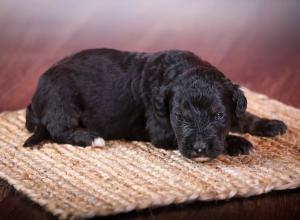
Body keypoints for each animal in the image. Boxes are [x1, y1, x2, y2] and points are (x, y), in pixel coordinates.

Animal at [22, 48, 286, 158]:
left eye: (219, 115)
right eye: (180, 116)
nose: (200, 149)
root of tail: (35, 98)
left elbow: (242, 116)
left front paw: (270, 124)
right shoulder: (161, 131)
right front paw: (237, 143)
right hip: (62, 98)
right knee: (59, 129)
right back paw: (92, 137)